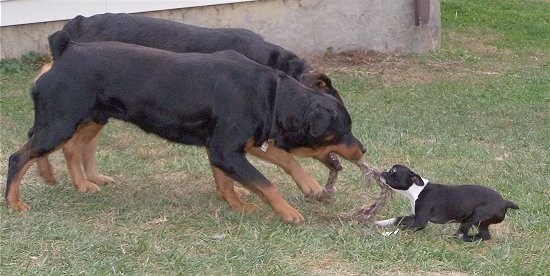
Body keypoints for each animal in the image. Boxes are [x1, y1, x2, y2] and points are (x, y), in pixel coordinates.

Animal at [376, 164, 520, 242]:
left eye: (393, 172)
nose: (382, 172)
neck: (417, 189)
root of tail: (505, 202)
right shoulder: (414, 216)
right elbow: (397, 219)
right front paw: (379, 223)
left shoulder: (420, 221)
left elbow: (402, 228)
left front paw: (386, 234)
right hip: (479, 222)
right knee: (484, 235)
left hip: (476, 215)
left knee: (464, 233)